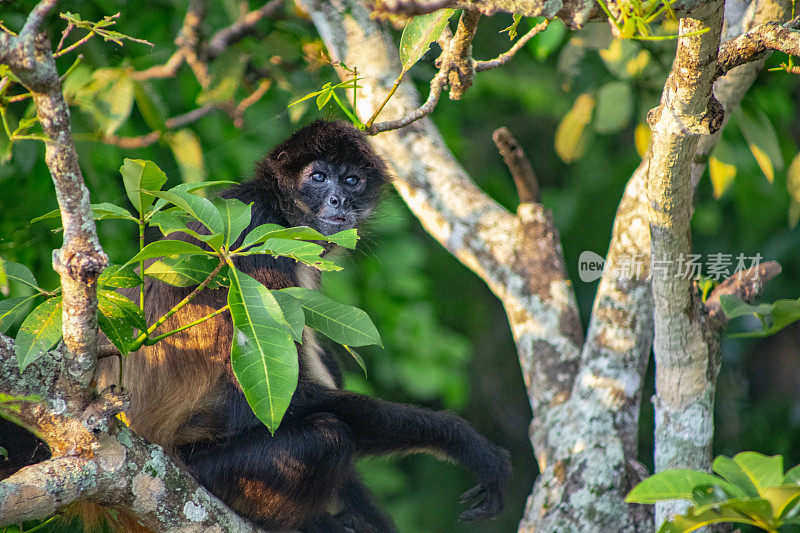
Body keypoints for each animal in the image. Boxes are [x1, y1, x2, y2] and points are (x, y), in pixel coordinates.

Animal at [98, 121, 512, 532]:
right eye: (317, 177)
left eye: (351, 180)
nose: (339, 201)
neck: (283, 215)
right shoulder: (258, 242)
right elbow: (274, 403)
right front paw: (463, 441)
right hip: (211, 472)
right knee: (327, 436)